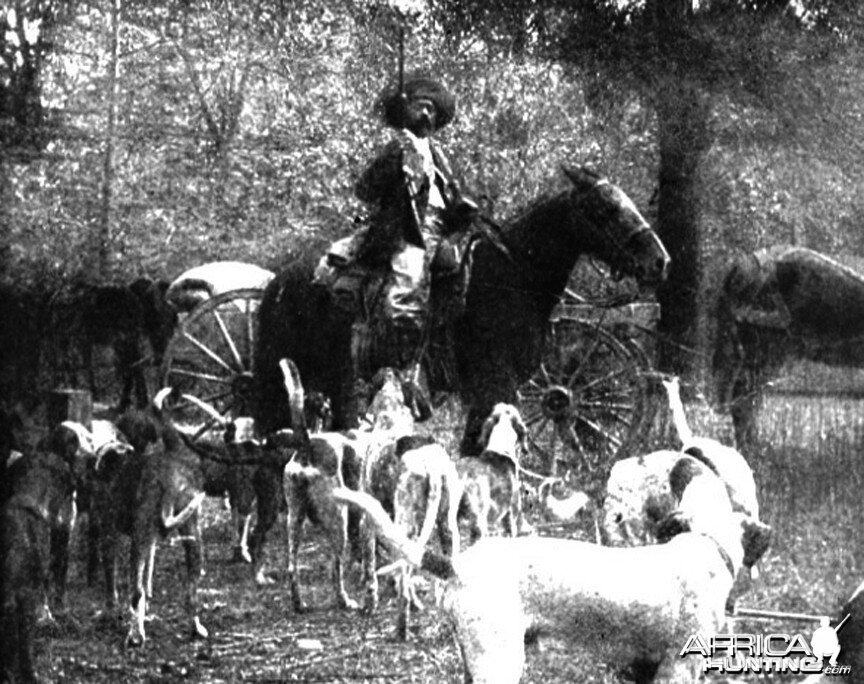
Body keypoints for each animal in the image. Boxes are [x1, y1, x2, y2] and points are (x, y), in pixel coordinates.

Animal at [253, 168, 672, 452]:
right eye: (604, 209)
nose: (659, 262)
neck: (508, 276)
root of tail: (280, 282)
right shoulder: (496, 382)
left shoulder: (486, 392)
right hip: (330, 382)